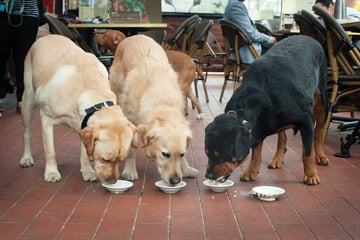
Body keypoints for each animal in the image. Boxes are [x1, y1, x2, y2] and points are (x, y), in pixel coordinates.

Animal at [19, 34, 139, 184]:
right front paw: (51, 172)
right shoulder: (46, 118)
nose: (112, 181)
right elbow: (50, 151)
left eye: (121, 159)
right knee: (27, 133)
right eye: (105, 160)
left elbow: (84, 153)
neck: (91, 91)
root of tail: (48, 35)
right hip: (28, 100)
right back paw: (26, 158)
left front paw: (87, 171)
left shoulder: (84, 124)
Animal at [110, 35, 198, 186]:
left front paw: (186, 168)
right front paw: (130, 170)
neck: (162, 101)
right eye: (165, 154)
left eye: (181, 154)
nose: (175, 181)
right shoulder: (130, 121)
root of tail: (134, 36)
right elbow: (131, 151)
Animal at [204, 35, 328, 186]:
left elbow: (307, 153)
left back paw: (321, 156)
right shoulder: (258, 126)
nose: (208, 175)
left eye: (223, 154)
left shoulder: (306, 120)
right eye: (207, 153)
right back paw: (277, 158)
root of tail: (307, 36)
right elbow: (256, 152)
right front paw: (251, 171)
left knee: (318, 133)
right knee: (282, 137)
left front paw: (311, 174)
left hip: (322, 101)